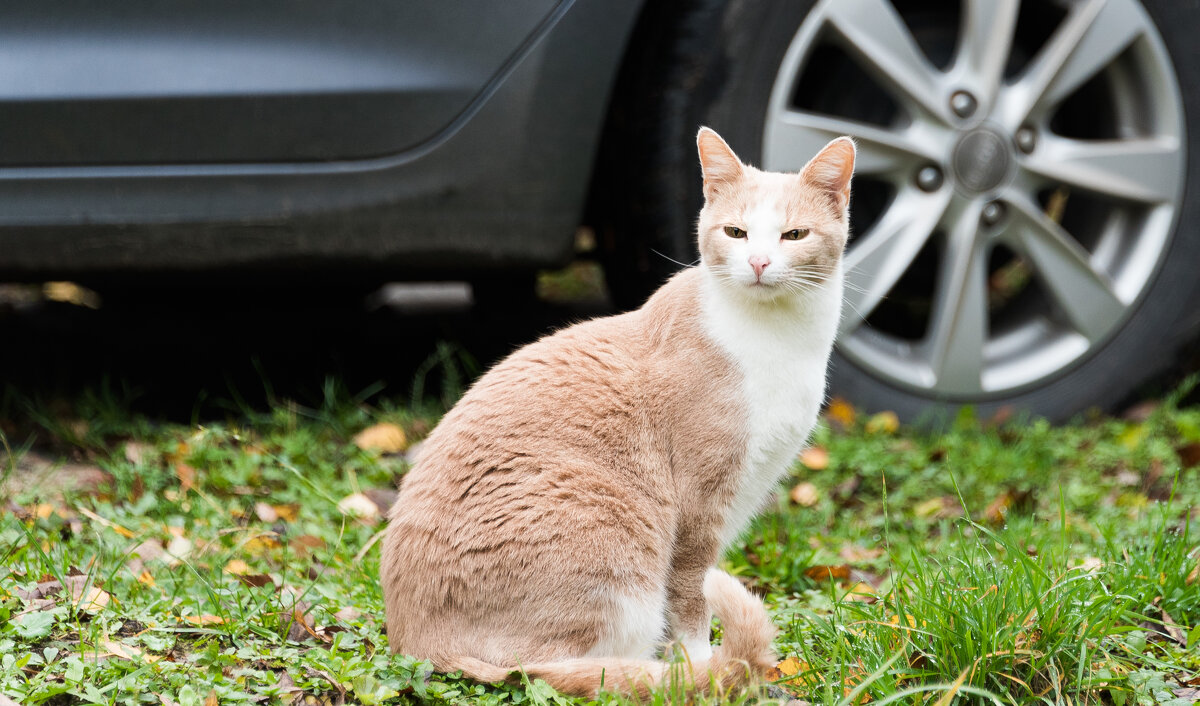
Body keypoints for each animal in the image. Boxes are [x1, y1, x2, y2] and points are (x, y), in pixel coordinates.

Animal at [379, 125, 859, 696]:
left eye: (794, 235)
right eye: (737, 233)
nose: (759, 263)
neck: (779, 338)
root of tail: (418, 643)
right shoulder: (700, 508)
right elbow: (691, 602)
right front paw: (700, 665)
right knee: (565, 668)